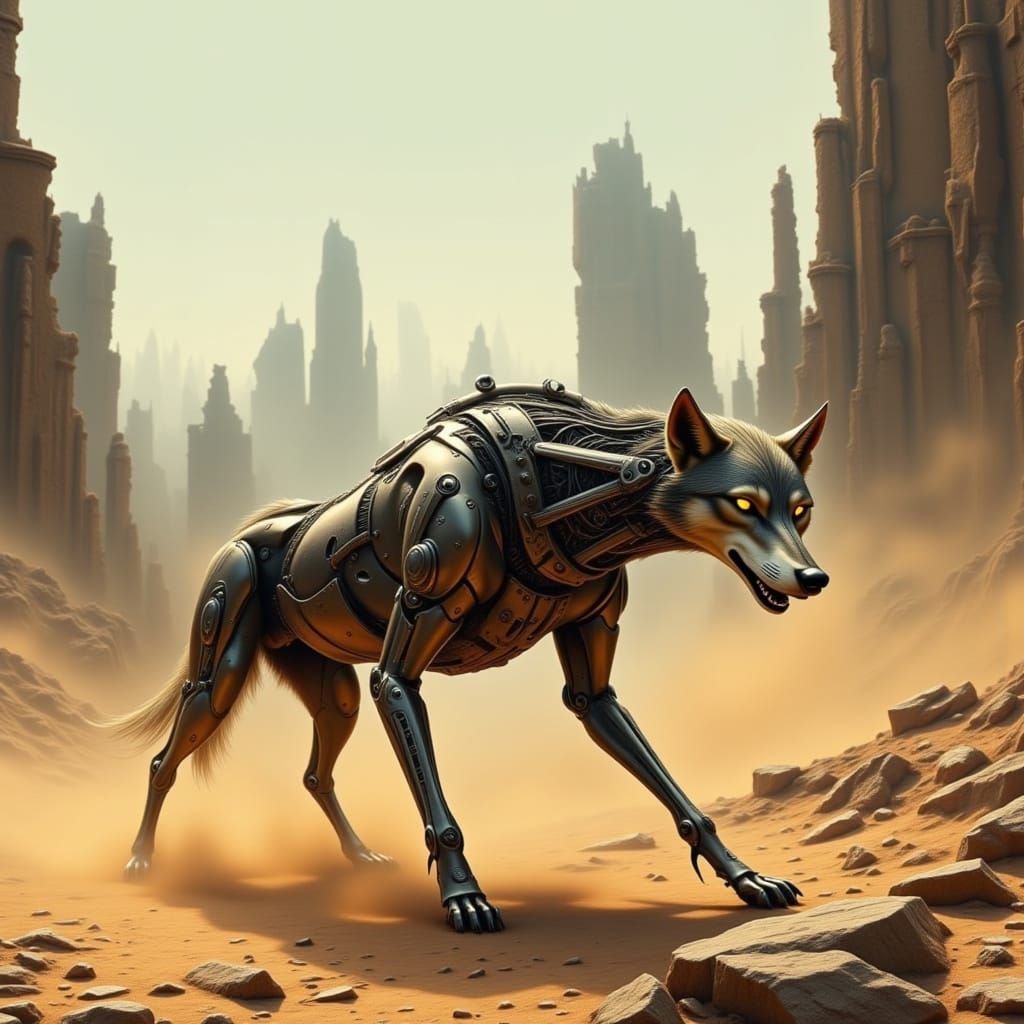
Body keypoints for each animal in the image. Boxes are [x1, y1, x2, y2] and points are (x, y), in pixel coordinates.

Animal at [112, 379, 828, 933]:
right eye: (742, 502)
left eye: (802, 511)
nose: (814, 579)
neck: (546, 475)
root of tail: (242, 532)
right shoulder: (397, 676)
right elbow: (438, 801)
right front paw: (463, 896)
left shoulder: (593, 687)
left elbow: (671, 787)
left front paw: (744, 876)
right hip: (224, 660)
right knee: (164, 758)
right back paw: (140, 860)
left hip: (335, 694)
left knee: (316, 774)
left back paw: (361, 857)